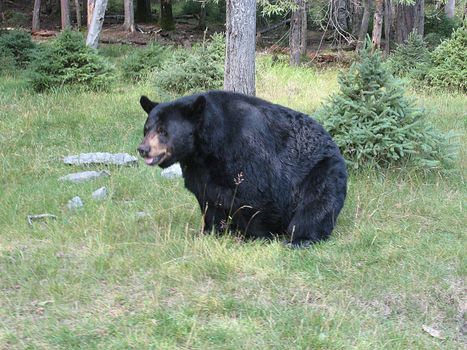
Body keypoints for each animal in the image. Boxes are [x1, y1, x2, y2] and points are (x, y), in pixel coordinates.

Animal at [137, 91, 346, 247]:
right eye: (147, 129)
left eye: (163, 131)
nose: (143, 149)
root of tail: (333, 143)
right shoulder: (199, 170)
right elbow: (208, 199)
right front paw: (208, 232)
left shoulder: (246, 150)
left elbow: (257, 194)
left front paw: (253, 236)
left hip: (321, 171)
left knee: (315, 206)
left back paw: (300, 239)